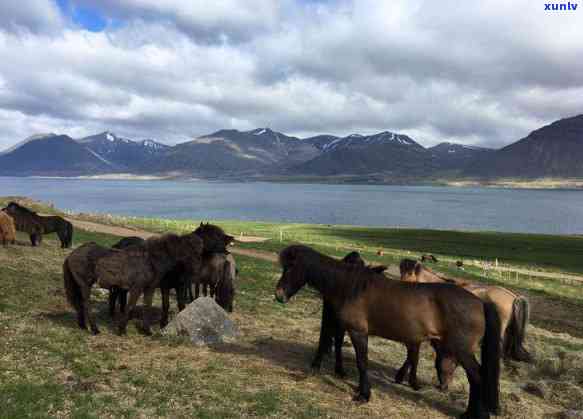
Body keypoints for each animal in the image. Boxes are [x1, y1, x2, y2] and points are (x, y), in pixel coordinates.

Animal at [64, 233, 203, 334]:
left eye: (199, 250)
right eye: (190, 249)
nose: (197, 270)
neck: (150, 260)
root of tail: (72, 254)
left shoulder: (149, 288)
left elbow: (147, 306)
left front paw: (146, 331)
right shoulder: (137, 288)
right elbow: (130, 306)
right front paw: (121, 330)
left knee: (80, 304)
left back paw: (82, 326)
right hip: (85, 285)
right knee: (86, 304)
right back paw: (94, 329)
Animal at [274, 246, 502, 419]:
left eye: (291, 267)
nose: (279, 295)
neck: (349, 286)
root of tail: (479, 302)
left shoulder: (358, 332)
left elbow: (362, 362)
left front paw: (363, 395)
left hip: (461, 350)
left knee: (477, 377)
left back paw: (477, 414)